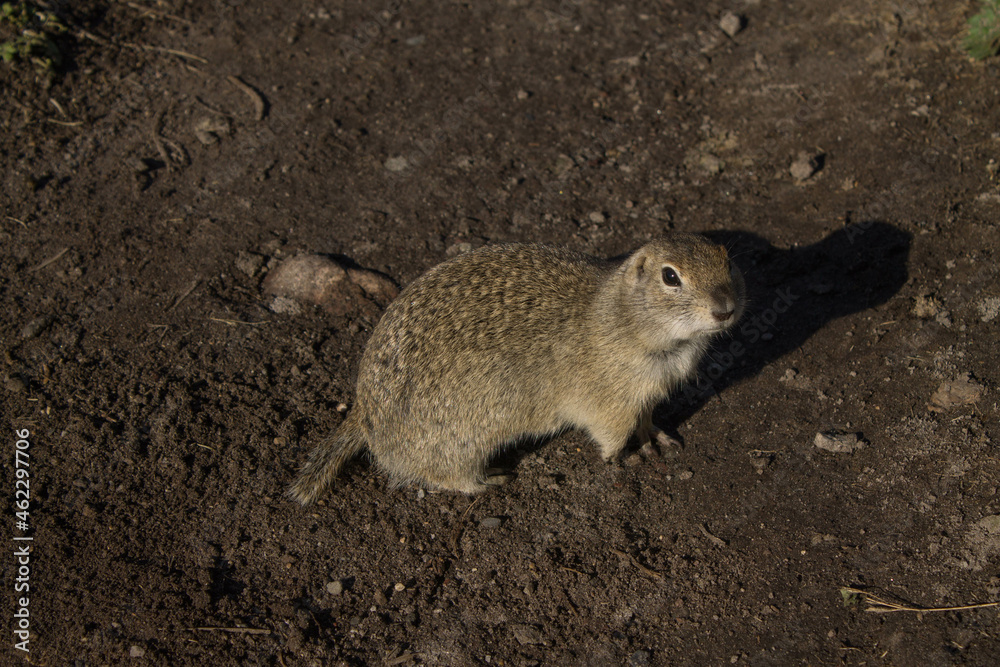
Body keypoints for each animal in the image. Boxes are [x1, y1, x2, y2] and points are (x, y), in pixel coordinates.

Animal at [290, 232, 744, 504]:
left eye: (727, 260)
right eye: (670, 277)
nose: (726, 309)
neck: (622, 317)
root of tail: (362, 412)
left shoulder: (649, 392)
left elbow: (647, 417)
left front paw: (653, 437)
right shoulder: (609, 403)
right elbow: (610, 437)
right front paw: (623, 458)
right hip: (459, 444)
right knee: (444, 477)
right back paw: (488, 480)